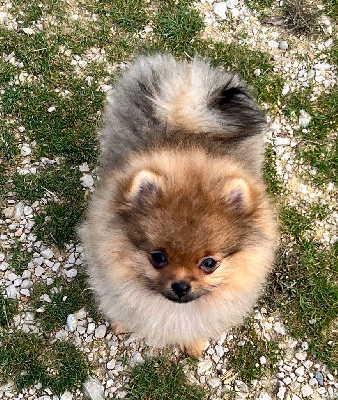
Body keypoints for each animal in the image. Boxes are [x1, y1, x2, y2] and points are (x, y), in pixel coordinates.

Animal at [79, 54, 278, 356]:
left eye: (209, 263)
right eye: (158, 257)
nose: (181, 286)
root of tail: (183, 112)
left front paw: (193, 344)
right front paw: (121, 324)